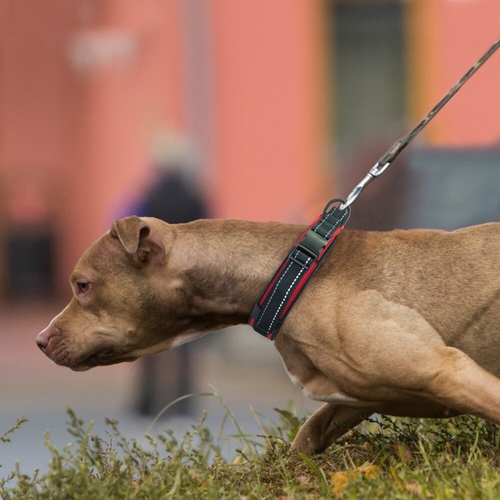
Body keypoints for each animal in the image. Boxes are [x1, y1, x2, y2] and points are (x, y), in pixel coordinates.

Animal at [36, 215, 500, 454]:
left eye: (83, 285)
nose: (40, 340)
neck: (293, 277)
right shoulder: (360, 396)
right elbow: (308, 434)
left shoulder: (446, 372)